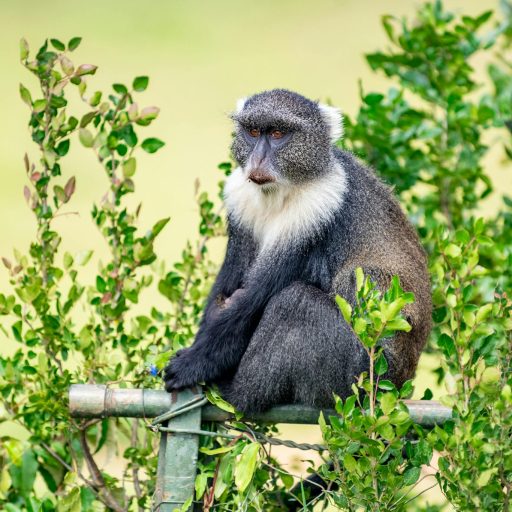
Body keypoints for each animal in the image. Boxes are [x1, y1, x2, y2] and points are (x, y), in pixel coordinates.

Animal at [163, 88, 428, 414]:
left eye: (278, 133)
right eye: (253, 132)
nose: (258, 160)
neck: (279, 193)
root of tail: (401, 383)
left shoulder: (317, 211)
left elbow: (249, 303)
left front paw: (193, 364)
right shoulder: (240, 204)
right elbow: (227, 288)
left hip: (361, 376)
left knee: (296, 303)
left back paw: (237, 393)